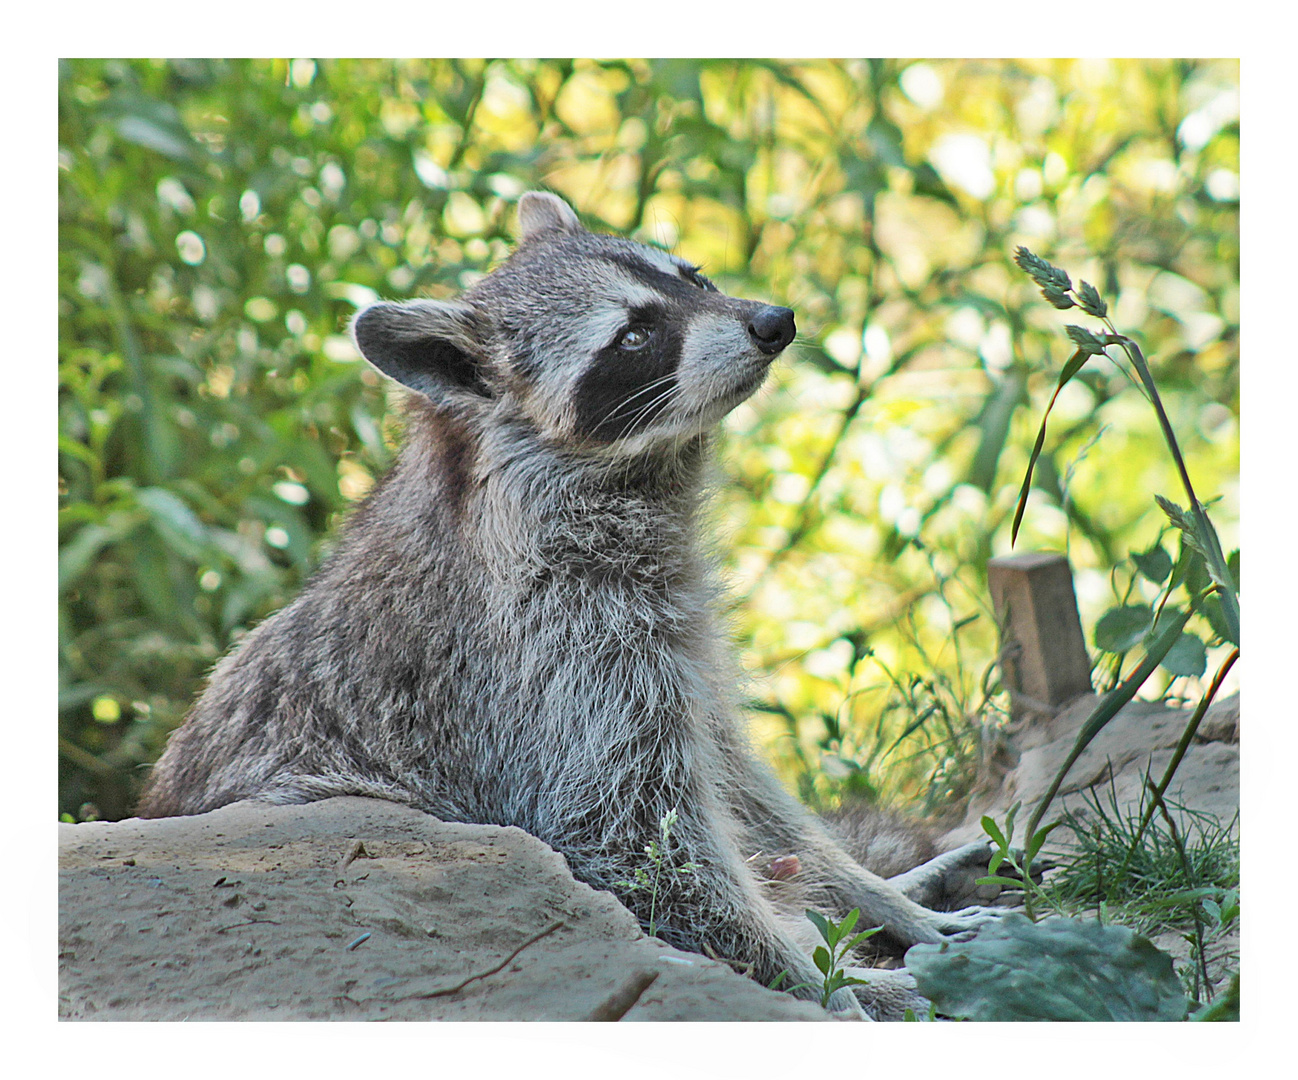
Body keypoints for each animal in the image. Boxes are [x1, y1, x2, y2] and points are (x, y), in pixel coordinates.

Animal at [139, 196, 991, 1022]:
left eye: (695, 277)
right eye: (635, 335)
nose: (773, 321)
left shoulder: (673, 643)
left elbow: (741, 780)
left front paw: (872, 894)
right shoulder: (558, 661)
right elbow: (636, 842)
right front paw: (831, 984)